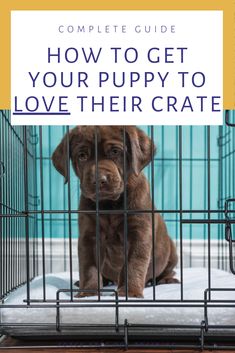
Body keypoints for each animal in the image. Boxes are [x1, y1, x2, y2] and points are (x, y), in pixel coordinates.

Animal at [51, 126, 178, 296]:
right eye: (82, 156)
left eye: (115, 152)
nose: (99, 180)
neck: (109, 205)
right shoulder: (89, 236)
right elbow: (89, 267)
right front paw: (88, 292)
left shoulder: (139, 233)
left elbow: (133, 265)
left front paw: (129, 293)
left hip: (171, 250)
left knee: (167, 270)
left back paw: (164, 280)